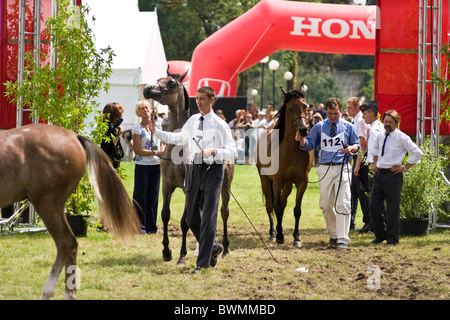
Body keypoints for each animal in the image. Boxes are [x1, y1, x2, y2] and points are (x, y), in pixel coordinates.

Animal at [143, 68, 236, 264]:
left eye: (171, 82)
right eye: (159, 78)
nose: (147, 89)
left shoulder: (188, 188)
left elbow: (185, 221)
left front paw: (181, 256)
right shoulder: (166, 185)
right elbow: (165, 214)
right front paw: (166, 252)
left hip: (225, 187)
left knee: (224, 212)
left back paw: (224, 249)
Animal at [256, 85, 312, 248]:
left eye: (305, 106)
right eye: (290, 108)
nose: (303, 130)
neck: (291, 150)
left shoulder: (302, 182)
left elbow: (297, 210)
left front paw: (297, 238)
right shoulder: (277, 181)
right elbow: (277, 208)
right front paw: (280, 236)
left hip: (287, 185)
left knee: (283, 201)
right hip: (265, 180)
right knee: (270, 205)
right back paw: (273, 233)